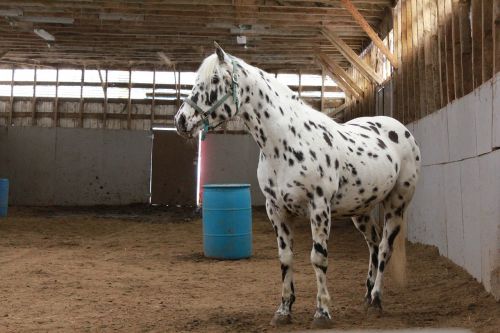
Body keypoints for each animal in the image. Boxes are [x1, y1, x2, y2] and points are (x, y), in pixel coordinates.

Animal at [174, 42, 420, 326]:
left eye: (214, 79)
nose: (181, 120)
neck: (286, 141)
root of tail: (401, 130)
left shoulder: (319, 208)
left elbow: (318, 258)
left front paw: (322, 312)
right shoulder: (276, 210)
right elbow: (285, 258)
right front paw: (284, 310)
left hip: (396, 205)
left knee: (384, 249)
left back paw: (377, 299)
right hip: (360, 210)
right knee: (373, 243)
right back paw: (367, 297)